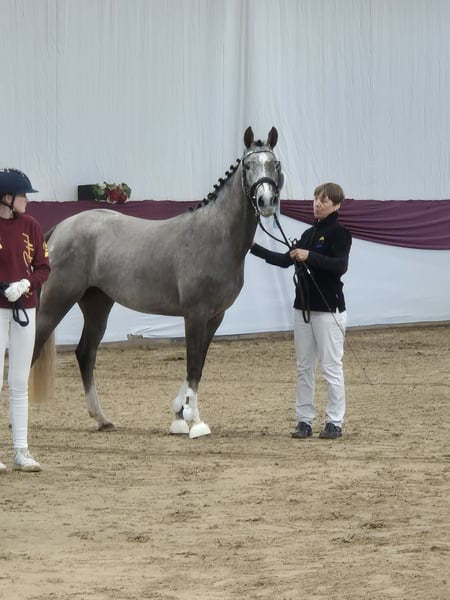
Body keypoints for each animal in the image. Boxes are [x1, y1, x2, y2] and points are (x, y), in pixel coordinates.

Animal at [31, 127, 284, 438]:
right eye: (248, 166)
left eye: (275, 165)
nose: (266, 202)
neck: (215, 235)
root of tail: (61, 228)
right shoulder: (195, 314)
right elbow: (192, 365)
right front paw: (194, 422)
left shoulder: (215, 318)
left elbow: (199, 365)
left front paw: (180, 412)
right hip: (55, 302)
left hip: (97, 305)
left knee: (85, 354)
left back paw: (102, 419)